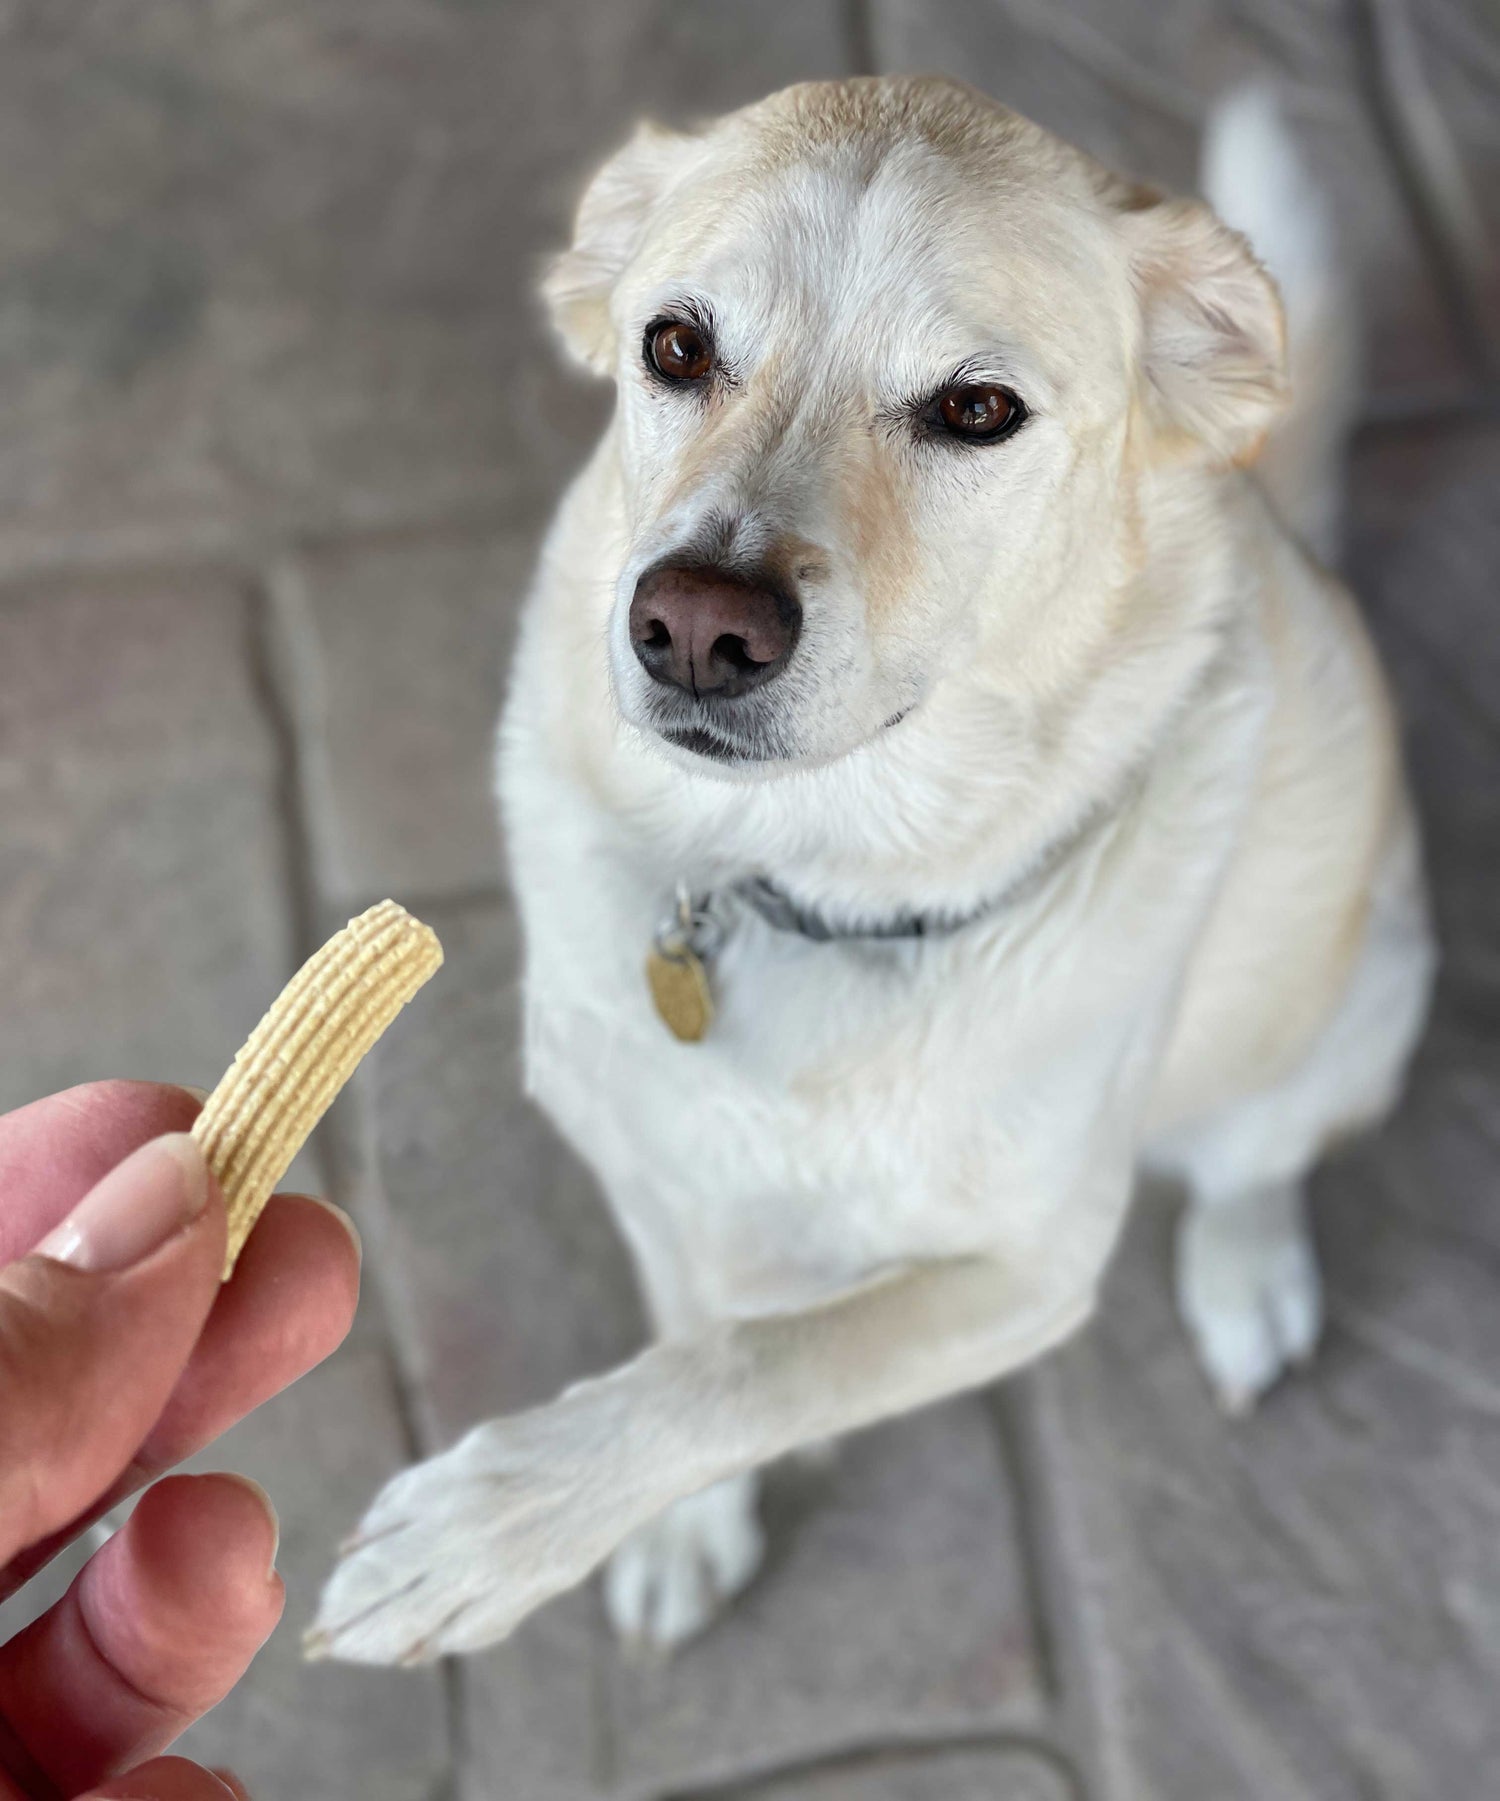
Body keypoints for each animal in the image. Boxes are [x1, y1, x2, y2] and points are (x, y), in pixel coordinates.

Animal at [313, 81, 1426, 1656]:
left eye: (977, 409)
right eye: (677, 345)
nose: (694, 625)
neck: (808, 881)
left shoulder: (1029, 1270)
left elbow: (756, 1367)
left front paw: (494, 1527)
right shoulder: (645, 1149)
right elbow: (701, 1322)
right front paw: (673, 1523)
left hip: (1358, 1001)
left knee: (1257, 1157)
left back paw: (1247, 1275)